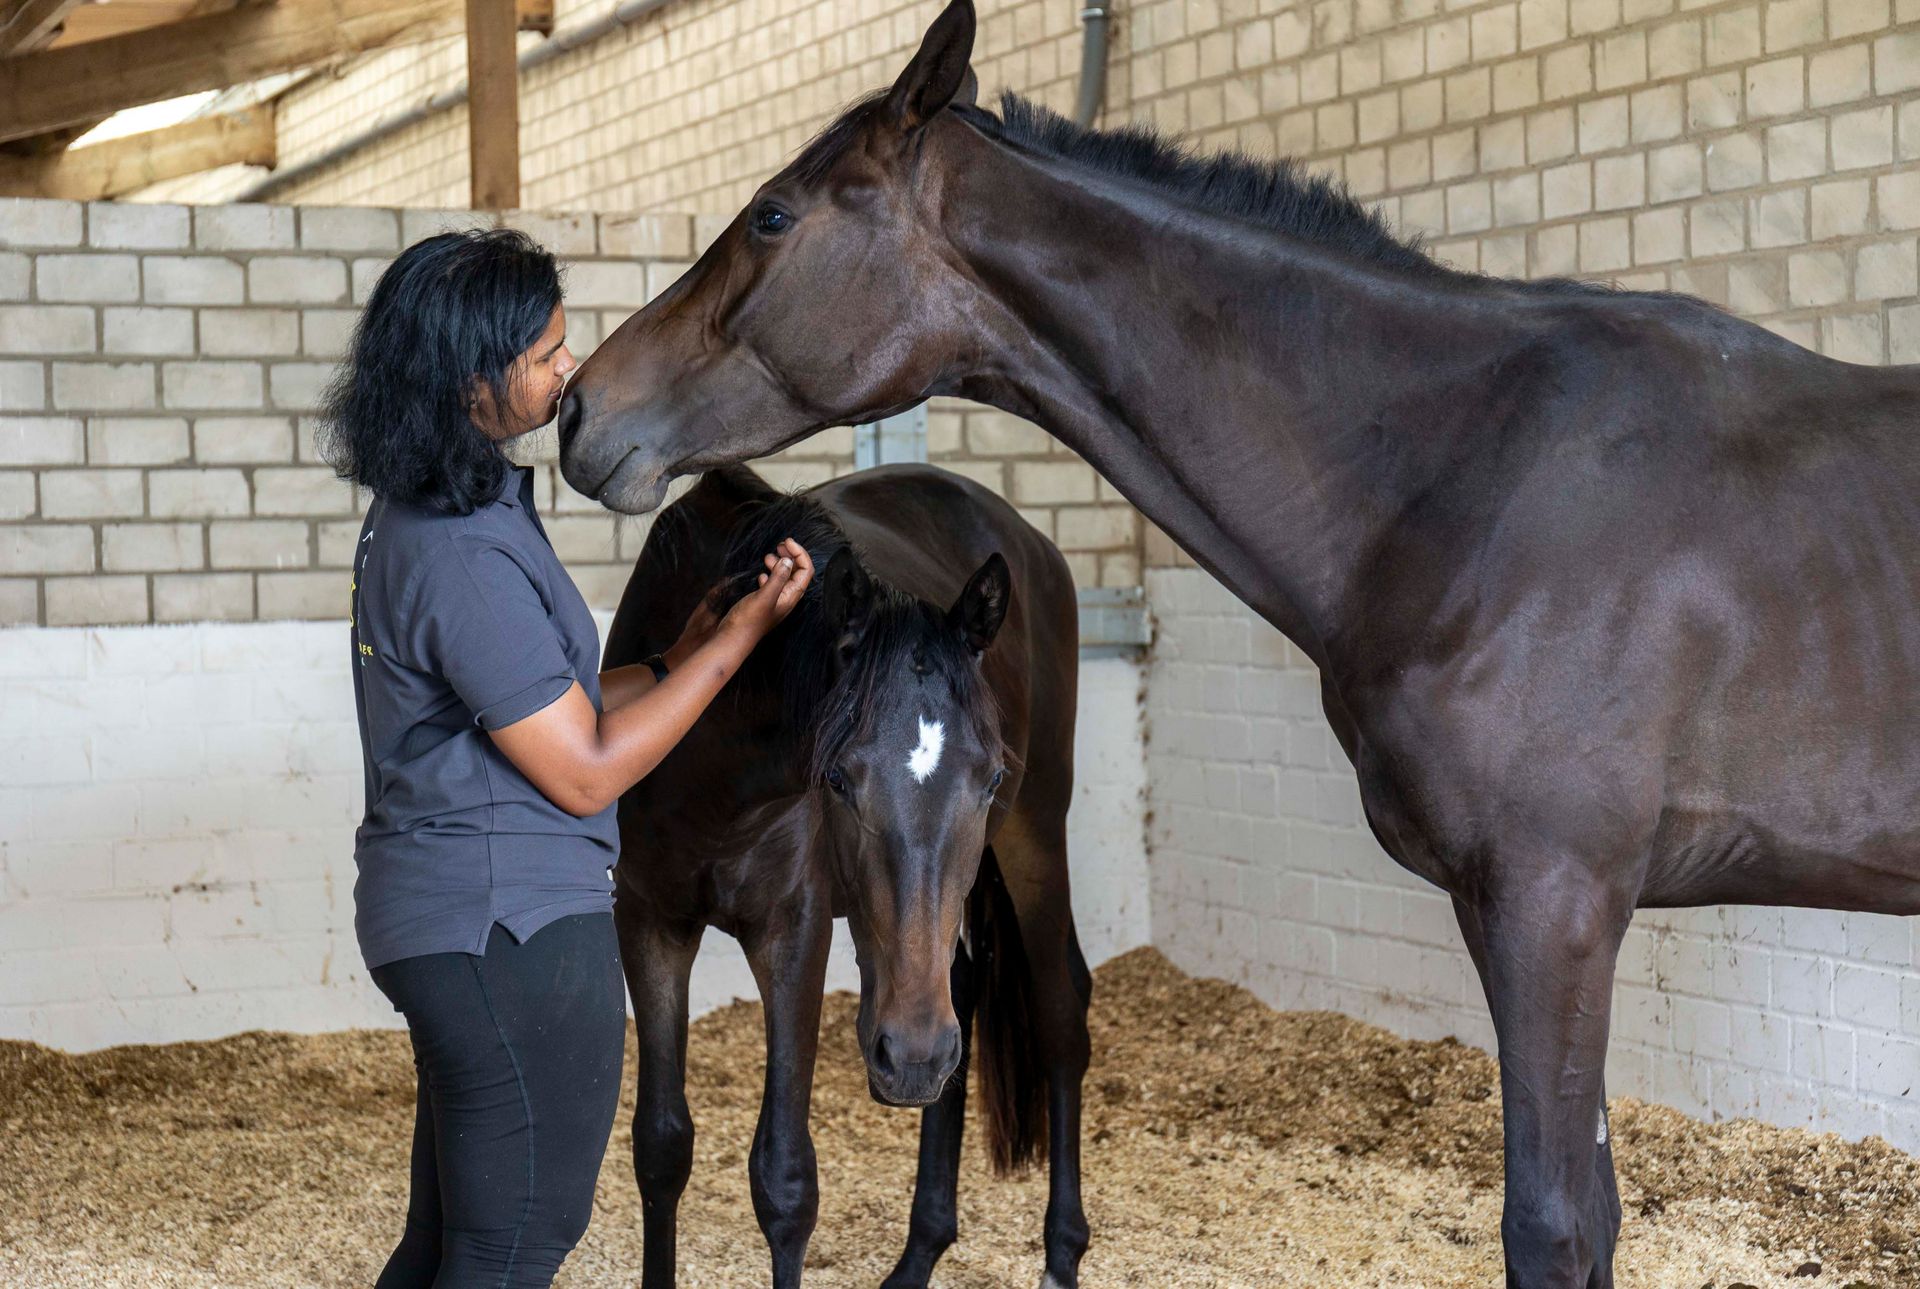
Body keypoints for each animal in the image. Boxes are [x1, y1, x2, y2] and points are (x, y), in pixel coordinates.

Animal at [602, 461, 1092, 1289]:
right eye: (836, 776)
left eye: (990, 777)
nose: (912, 1054)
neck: (711, 763)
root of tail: (1035, 545)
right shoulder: (649, 922)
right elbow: (661, 1145)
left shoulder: (792, 933)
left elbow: (785, 1179)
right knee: (960, 1003)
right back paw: (919, 1251)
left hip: (1035, 840)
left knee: (1060, 1018)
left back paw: (1061, 1255)